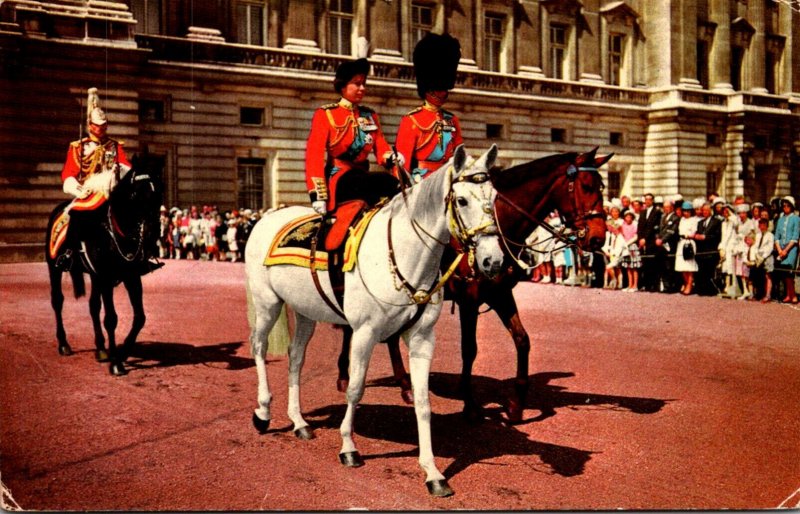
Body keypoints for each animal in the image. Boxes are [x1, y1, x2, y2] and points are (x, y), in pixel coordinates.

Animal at [45, 154, 162, 374]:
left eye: (159, 190)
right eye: (135, 192)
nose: (152, 235)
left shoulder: (131, 276)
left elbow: (139, 317)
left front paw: (123, 352)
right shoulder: (107, 277)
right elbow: (111, 319)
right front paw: (116, 363)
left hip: (94, 275)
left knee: (93, 306)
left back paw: (100, 348)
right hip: (54, 268)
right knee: (58, 301)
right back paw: (64, 344)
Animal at [247, 142, 504, 494]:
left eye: (494, 197)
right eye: (462, 200)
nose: (494, 261)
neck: (406, 256)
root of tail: (269, 215)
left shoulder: (422, 338)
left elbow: (422, 402)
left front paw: (432, 472)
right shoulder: (364, 333)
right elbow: (355, 389)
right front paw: (348, 447)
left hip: (305, 312)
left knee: (295, 357)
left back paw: (299, 422)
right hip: (267, 303)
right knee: (259, 348)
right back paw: (262, 411)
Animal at [336, 147, 608, 420]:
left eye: (602, 186)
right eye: (586, 186)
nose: (598, 238)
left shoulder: (500, 294)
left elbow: (522, 340)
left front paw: (516, 404)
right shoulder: (469, 299)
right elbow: (469, 349)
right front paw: (470, 403)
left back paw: (404, 385)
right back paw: (347, 376)